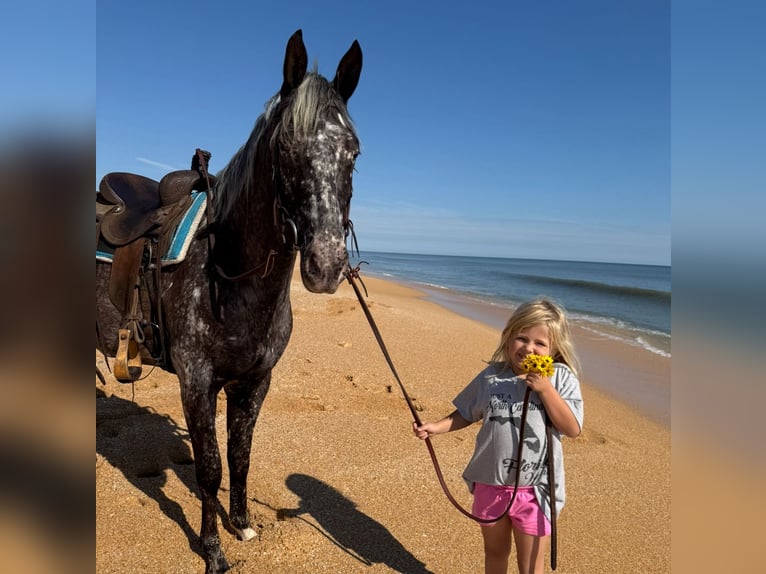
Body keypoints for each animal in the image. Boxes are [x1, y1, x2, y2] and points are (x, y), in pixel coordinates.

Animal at [95, 31, 364, 574]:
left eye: (354, 152)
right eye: (285, 146)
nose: (325, 265)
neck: (228, 275)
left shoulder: (254, 382)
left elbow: (240, 457)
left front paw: (240, 524)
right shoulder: (197, 382)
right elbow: (210, 468)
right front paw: (213, 550)